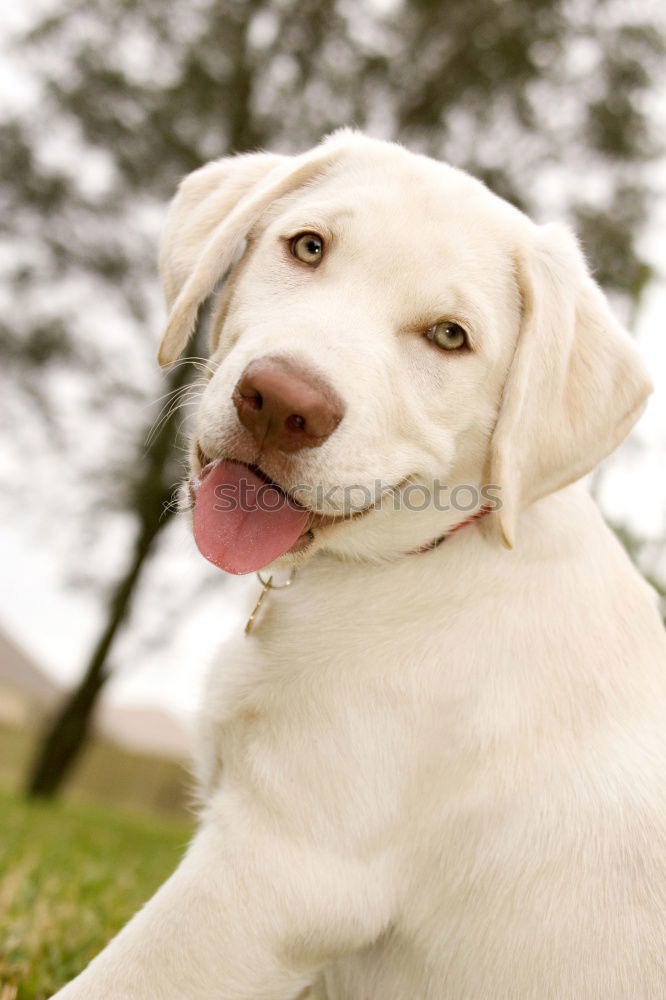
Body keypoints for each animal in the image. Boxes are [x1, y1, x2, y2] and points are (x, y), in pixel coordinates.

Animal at [53, 133, 664, 1000]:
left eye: (450, 336)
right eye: (308, 247)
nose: (282, 402)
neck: (417, 559)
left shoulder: (274, 870)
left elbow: (111, 983)